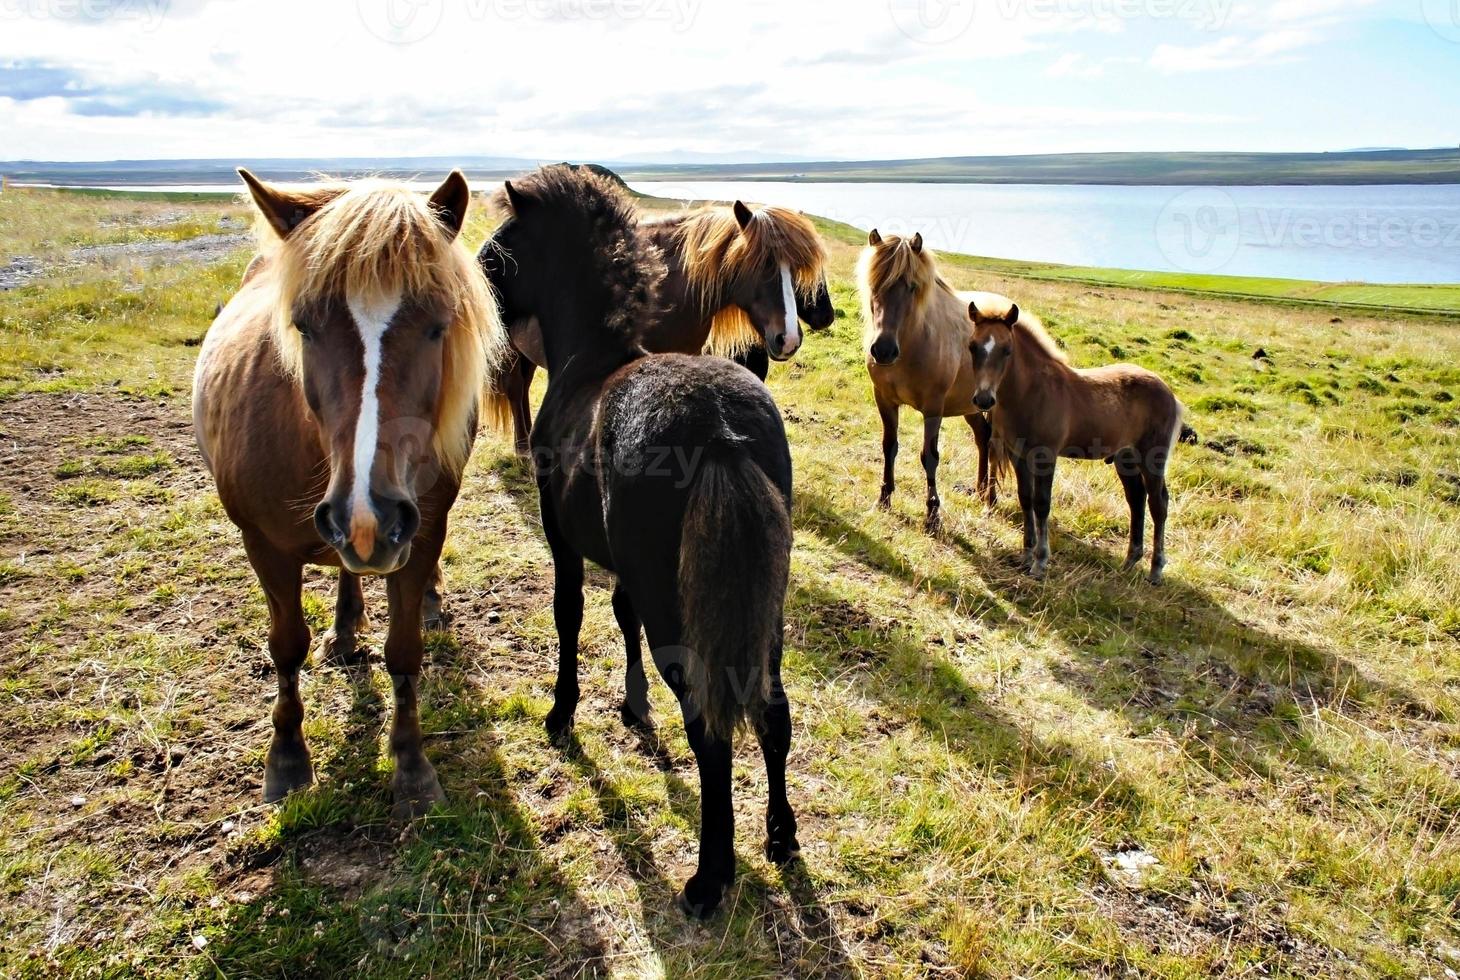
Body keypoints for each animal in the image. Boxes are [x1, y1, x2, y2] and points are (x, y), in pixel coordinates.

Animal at [189, 170, 508, 817]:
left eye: (438, 325)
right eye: (304, 326)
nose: (367, 518)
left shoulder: (419, 535)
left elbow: (405, 651)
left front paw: (411, 766)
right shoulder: (263, 545)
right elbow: (286, 646)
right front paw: (287, 760)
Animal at [478, 166, 800, 923]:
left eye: (506, 240)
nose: (475, 270)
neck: (588, 360)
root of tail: (720, 431)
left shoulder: (563, 538)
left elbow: (569, 616)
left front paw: (561, 713)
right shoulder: (628, 569)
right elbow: (620, 616)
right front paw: (632, 707)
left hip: (682, 613)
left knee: (710, 727)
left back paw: (709, 878)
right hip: (763, 604)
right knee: (772, 709)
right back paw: (780, 835)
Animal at [493, 200, 835, 461]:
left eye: (796, 270)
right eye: (763, 265)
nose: (789, 339)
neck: (670, 287)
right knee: (514, 388)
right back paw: (523, 450)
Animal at [963, 299, 1191, 587]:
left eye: (1007, 350)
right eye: (973, 346)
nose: (984, 399)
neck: (1032, 392)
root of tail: (1170, 394)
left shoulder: (1045, 455)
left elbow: (1041, 504)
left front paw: (1040, 562)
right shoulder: (1018, 455)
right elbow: (1025, 499)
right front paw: (1025, 555)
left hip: (1153, 458)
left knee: (1158, 504)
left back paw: (1155, 570)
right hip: (1125, 459)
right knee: (1136, 499)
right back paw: (1129, 562)